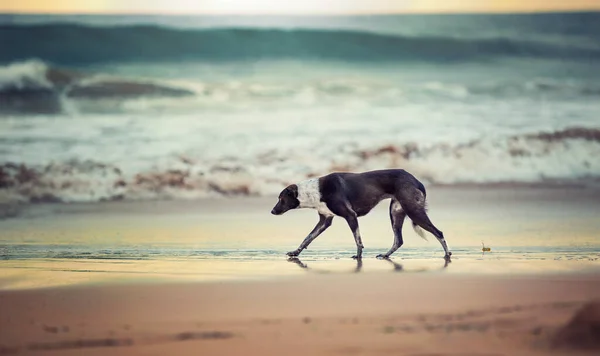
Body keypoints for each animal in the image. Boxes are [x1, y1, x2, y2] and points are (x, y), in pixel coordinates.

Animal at [270, 168, 450, 260]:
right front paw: (295, 252)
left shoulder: (350, 215)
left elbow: (358, 241)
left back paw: (447, 254)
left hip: (413, 210)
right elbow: (307, 238)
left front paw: (358, 256)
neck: (315, 191)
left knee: (439, 232)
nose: (272, 211)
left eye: (281, 199)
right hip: (396, 212)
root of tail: (417, 180)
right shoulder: (325, 220)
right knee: (398, 240)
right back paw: (385, 255)